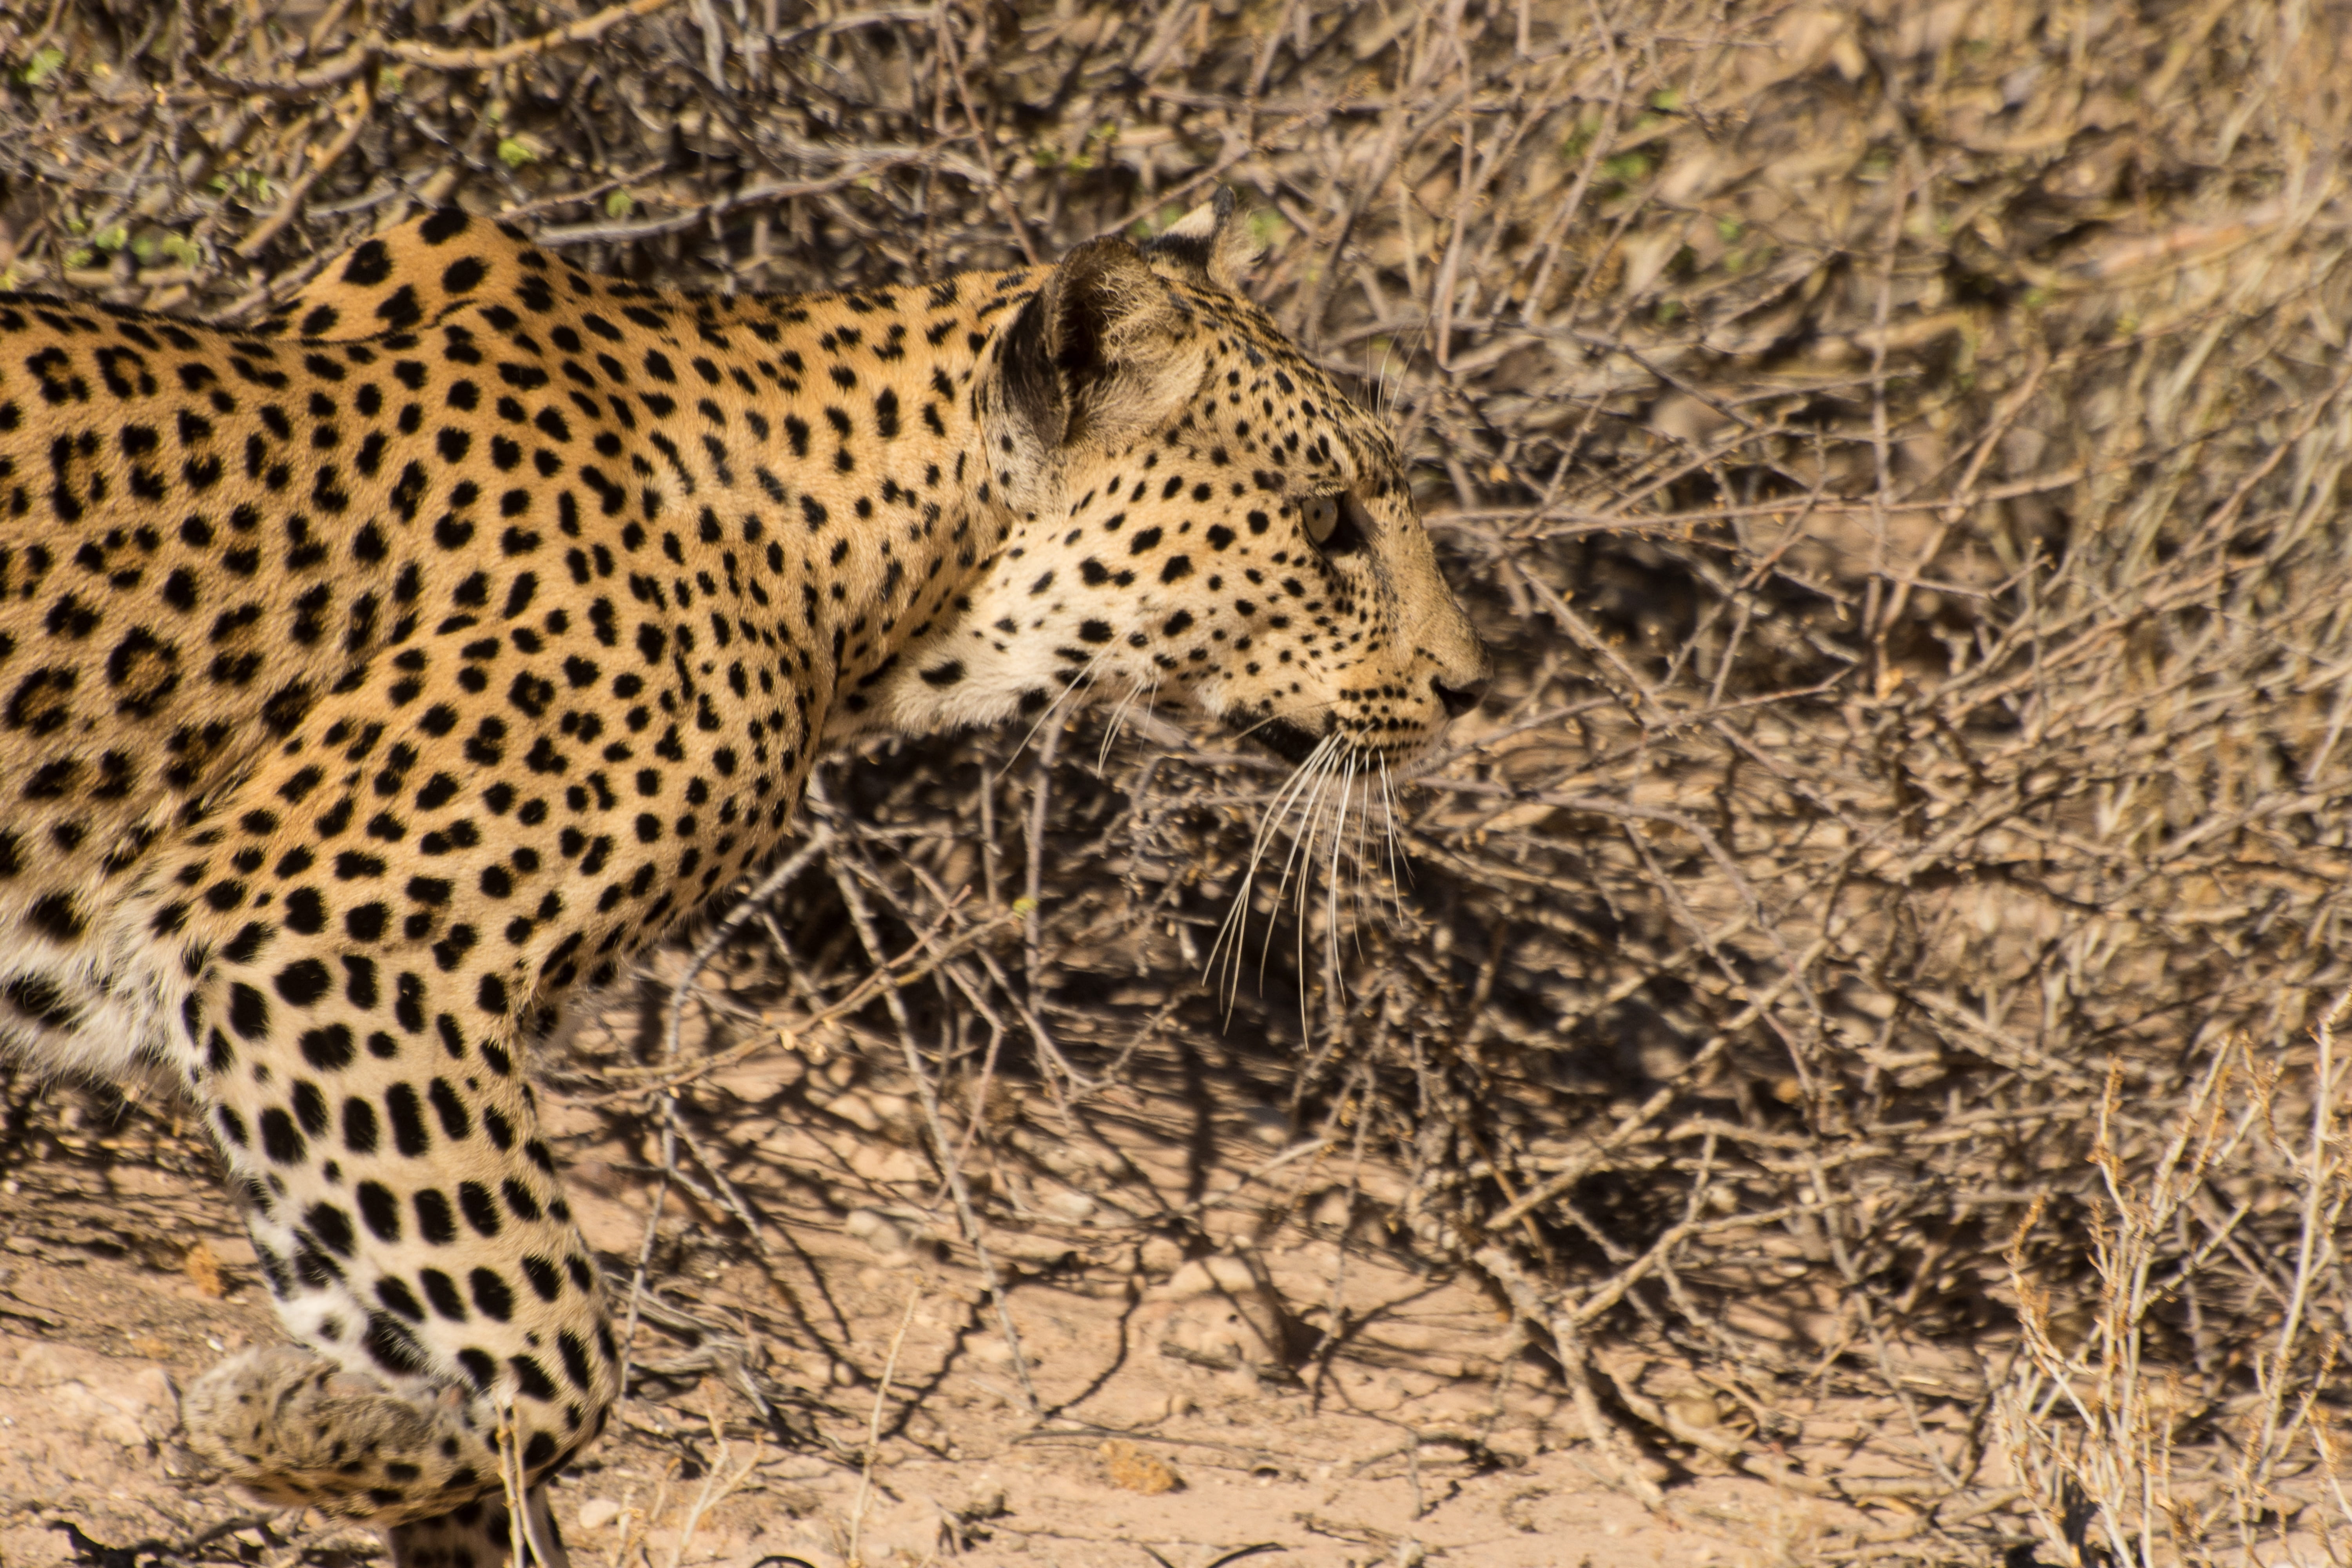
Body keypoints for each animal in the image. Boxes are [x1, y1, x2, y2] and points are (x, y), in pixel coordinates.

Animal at [0, 191, 1488, 1567]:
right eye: (1328, 524)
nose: (1471, 686)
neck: (870, 578)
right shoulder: (333, 950)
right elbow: (552, 1348)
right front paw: (270, 1411)